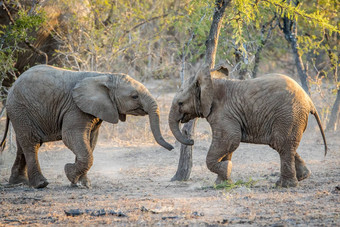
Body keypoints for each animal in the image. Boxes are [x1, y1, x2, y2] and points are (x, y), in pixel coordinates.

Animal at [0, 64, 174, 189]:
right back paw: (40, 184)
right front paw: (70, 174)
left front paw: (82, 183)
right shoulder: (75, 107)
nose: (172, 148)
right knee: (32, 143)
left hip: (20, 112)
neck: (104, 76)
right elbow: (72, 138)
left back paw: (19, 182)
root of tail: (11, 89)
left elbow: (90, 141)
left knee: (22, 144)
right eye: (134, 96)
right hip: (20, 108)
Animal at [169, 64, 328, 187]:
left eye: (180, 103)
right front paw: (222, 183)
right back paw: (303, 177)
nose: (191, 140)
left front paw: (227, 169)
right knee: (282, 145)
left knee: (282, 145)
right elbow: (228, 145)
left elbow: (230, 139)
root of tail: (309, 100)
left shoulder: (224, 113)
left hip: (289, 115)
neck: (211, 81)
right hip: (292, 117)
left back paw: (285, 186)